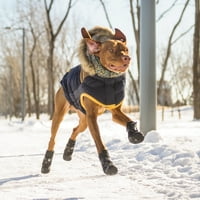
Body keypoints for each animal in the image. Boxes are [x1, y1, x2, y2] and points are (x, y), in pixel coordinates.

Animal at [41, 26, 144, 175]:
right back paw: (46, 163)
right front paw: (108, 164)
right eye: (111, 50)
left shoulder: (114, 111)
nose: (127, 58)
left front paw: (134, 133)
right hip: (60, 114)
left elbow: (128, 120)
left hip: (83, 119)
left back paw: (68, 151)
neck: (107, 80)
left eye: (125, 49)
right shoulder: (92, 116)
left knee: (75, 129)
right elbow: (99, 142)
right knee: (52, 139)